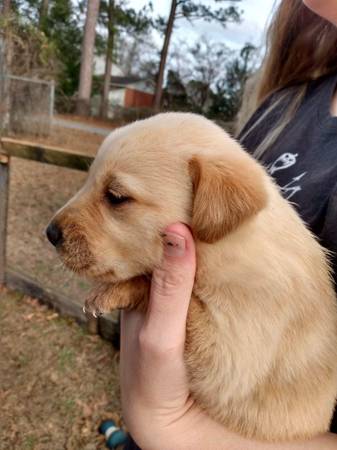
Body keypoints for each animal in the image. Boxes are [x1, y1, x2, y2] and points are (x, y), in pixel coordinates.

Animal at [46, 111, 336, 440]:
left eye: (116, 197)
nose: (50, 233)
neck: (230, 244)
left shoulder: (231, 355)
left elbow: (159, 286)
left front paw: (111, 292)